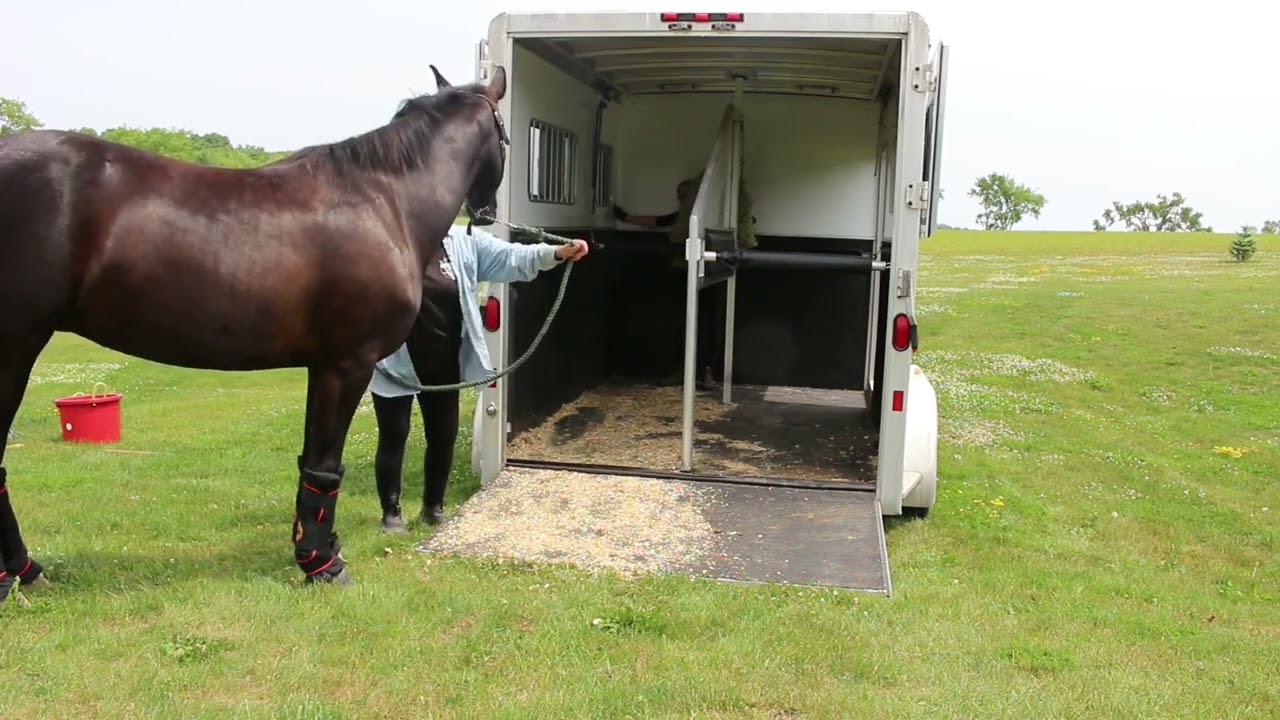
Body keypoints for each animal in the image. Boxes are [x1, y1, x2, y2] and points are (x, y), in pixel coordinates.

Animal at [0, 63, 509, 600]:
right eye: (504, 134)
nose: (485, 211)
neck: (384, 202)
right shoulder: (347, 362)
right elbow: (325, 463)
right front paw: (324, 564)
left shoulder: (321, 365)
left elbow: (312, 461)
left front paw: (316, 550)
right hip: (15, 347)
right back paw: (22, 572)